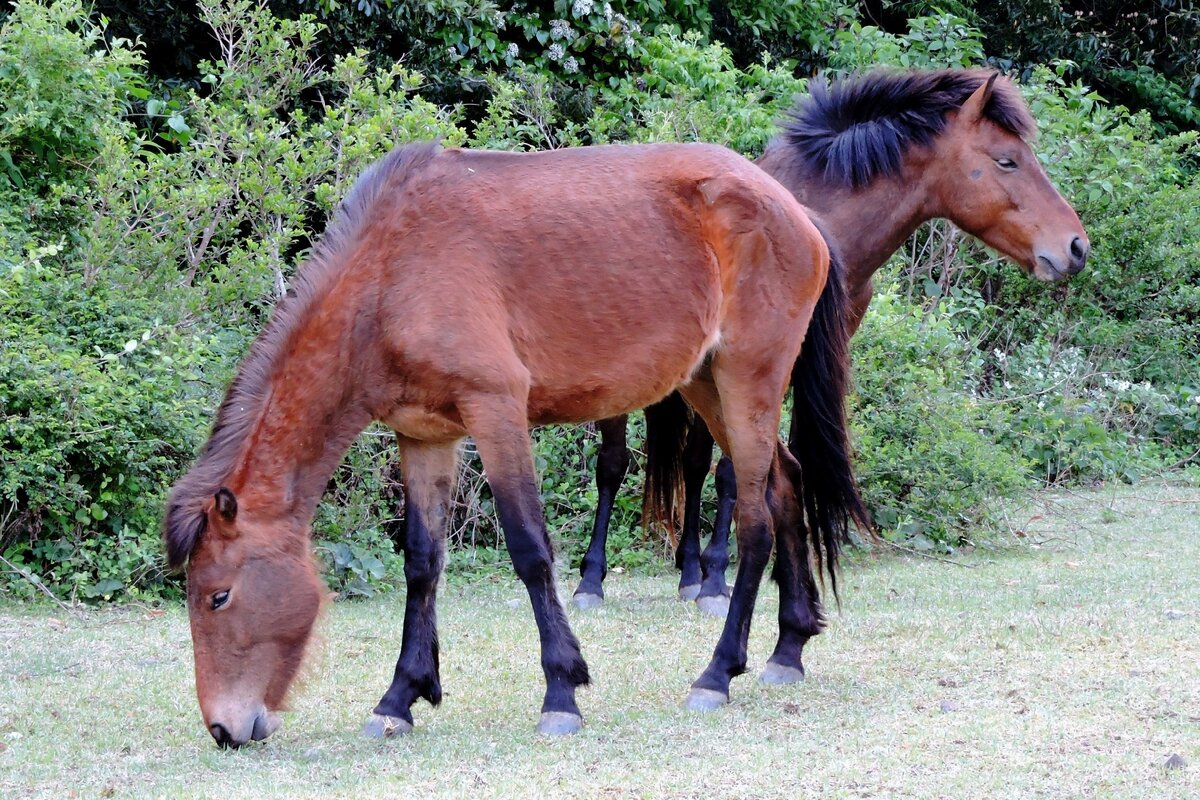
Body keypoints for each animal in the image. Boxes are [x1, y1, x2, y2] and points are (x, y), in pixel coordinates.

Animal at [164, 140, 868, 748]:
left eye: (218, 596)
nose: (224, 729)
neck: (391, 275)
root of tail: (792, 208)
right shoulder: (424, 436)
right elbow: (422, 562)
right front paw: (400, 697)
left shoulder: (496, 410)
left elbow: (529, 549)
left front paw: (562, 691)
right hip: (706, 384)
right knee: (785, 483)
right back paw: (788, 647)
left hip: (747, 378)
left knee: (755, 521)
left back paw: (718, 672)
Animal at [571, 71, 1089, 618]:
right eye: (1007, 160)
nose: (1076, 247)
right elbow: (733, 469)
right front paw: (718, 580)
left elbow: (744, 467)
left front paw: (727, 574)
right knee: (613, 465)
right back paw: (593, 580)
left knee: (692, 463)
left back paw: (688, 571)